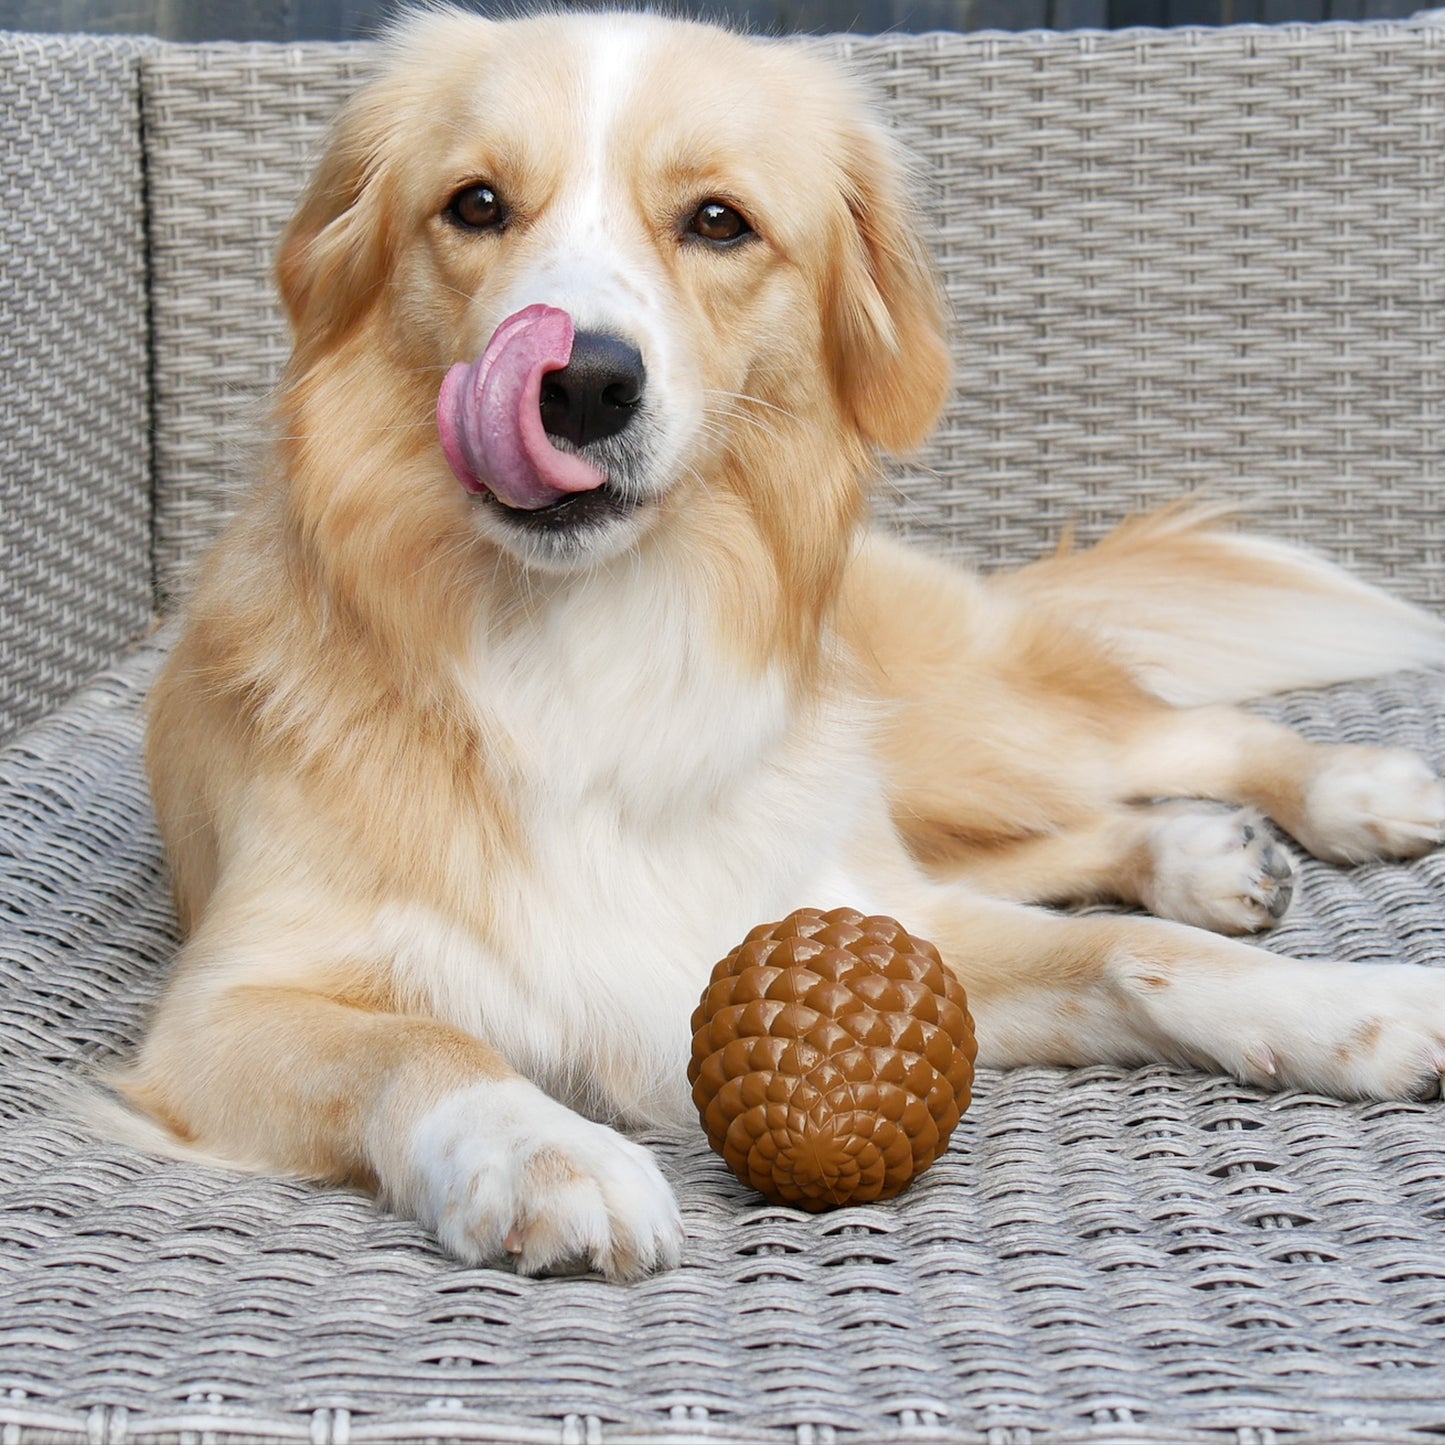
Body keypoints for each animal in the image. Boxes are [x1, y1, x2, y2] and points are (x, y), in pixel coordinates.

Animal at [112, 8, 1445, 1277]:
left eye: (718, 222)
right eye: (475, 204)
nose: (579, 383)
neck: (588, 646)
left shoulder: (863, 913)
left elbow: (1134, 952)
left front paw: (1353, 1007)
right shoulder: (220, 1012)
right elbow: (418, 1040)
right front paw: (541, 1149)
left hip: (958, 729)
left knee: (1167, 731)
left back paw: (1345, 792)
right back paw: (1200, 852)